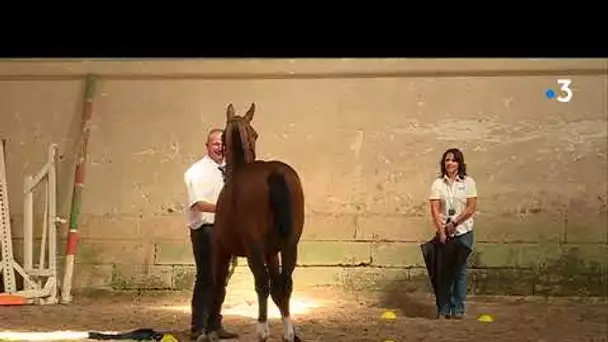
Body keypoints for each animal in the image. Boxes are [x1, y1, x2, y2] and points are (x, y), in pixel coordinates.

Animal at [207, 103, 304, 342]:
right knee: (285, 283)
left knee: (261, 283)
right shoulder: (272, 253)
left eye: (221, 137)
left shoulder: (221, 250)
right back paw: (288, 332)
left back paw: (262, 330)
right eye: (255, 133)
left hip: (254, 249)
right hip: (290, 245)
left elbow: (218, 289)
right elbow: (278, 289)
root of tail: (274, 172)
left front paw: (210, 331)